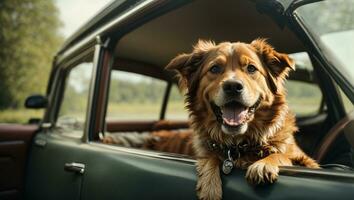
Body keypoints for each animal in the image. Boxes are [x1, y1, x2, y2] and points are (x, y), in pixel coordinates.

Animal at [165, 38, 320, 199]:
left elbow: (282, 155)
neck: (239, 144)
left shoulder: (307, 161)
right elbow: (209, 158)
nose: (232, 86)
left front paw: (263, 164)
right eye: (214, 69)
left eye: (251, 68)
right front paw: (209, 187)